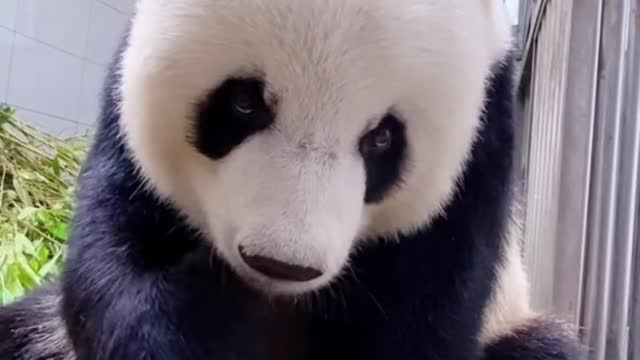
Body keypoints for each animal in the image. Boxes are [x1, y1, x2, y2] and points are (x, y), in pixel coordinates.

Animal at [0, 0, 584, 360]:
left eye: (382, 138)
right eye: (243, 102)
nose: (280, 263)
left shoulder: (477, 160)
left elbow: (418, 324)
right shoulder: (126, 121)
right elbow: (118, 270)